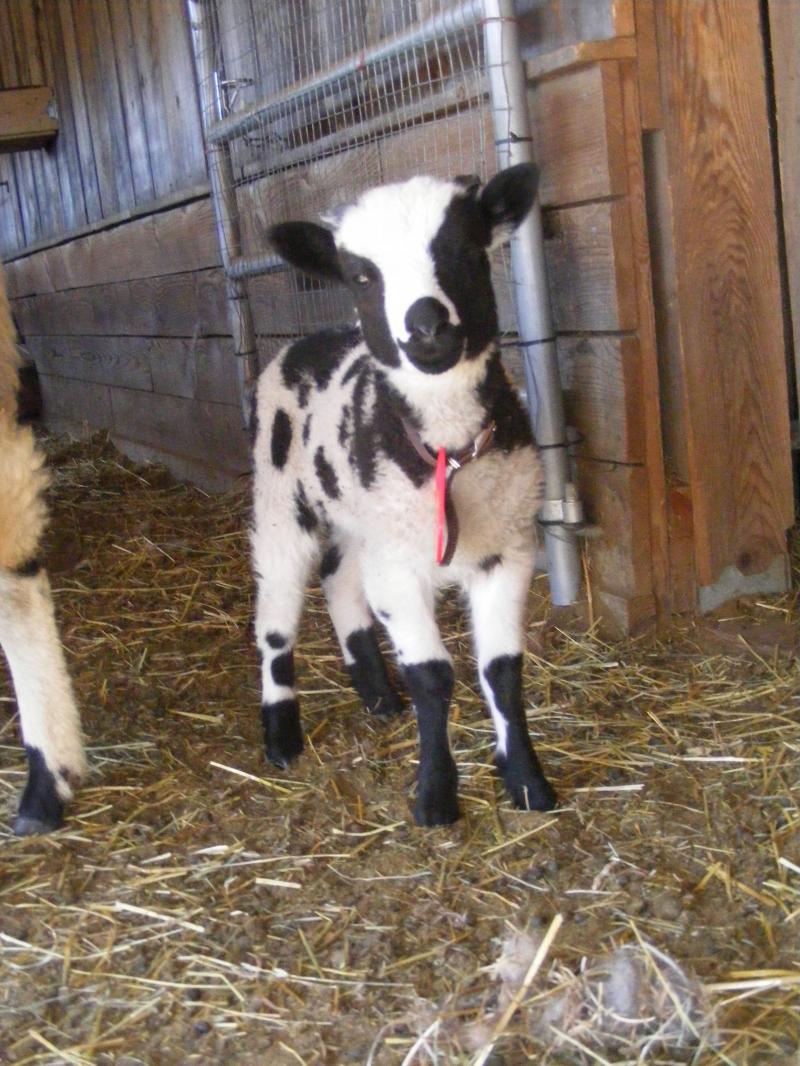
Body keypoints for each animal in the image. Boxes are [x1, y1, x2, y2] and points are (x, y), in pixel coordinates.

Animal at [251, 163, 557, 826]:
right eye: (363, 277)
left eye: (466, 250)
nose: (426, 326)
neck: (447, 448)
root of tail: (304, 341)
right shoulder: (399, 568)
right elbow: (434, 677)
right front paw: (436, 795)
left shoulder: (509, 550)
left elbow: (503, 671)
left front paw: (526, 780)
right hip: (279, 496)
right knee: (276, 615)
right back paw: (282, 733)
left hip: (363, 518)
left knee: (338, 578)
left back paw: (376, 693)